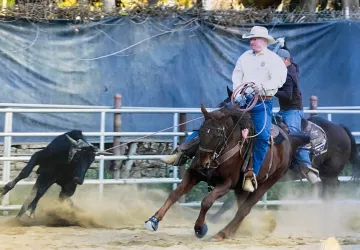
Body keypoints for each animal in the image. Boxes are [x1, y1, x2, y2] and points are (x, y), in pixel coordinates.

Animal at [143, 103, 310, 238]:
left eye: (218, 135)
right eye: (201, 131)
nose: (204, 163)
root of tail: (289, 140)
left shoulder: (226, 184)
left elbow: (206, 202)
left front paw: (200, 228)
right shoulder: (194, 174)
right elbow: (175, 193)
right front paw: (154, 220)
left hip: (267, 183)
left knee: (244, 209)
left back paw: (223, 233)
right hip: (241, 189)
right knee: (241, 207)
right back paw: (238, 230)